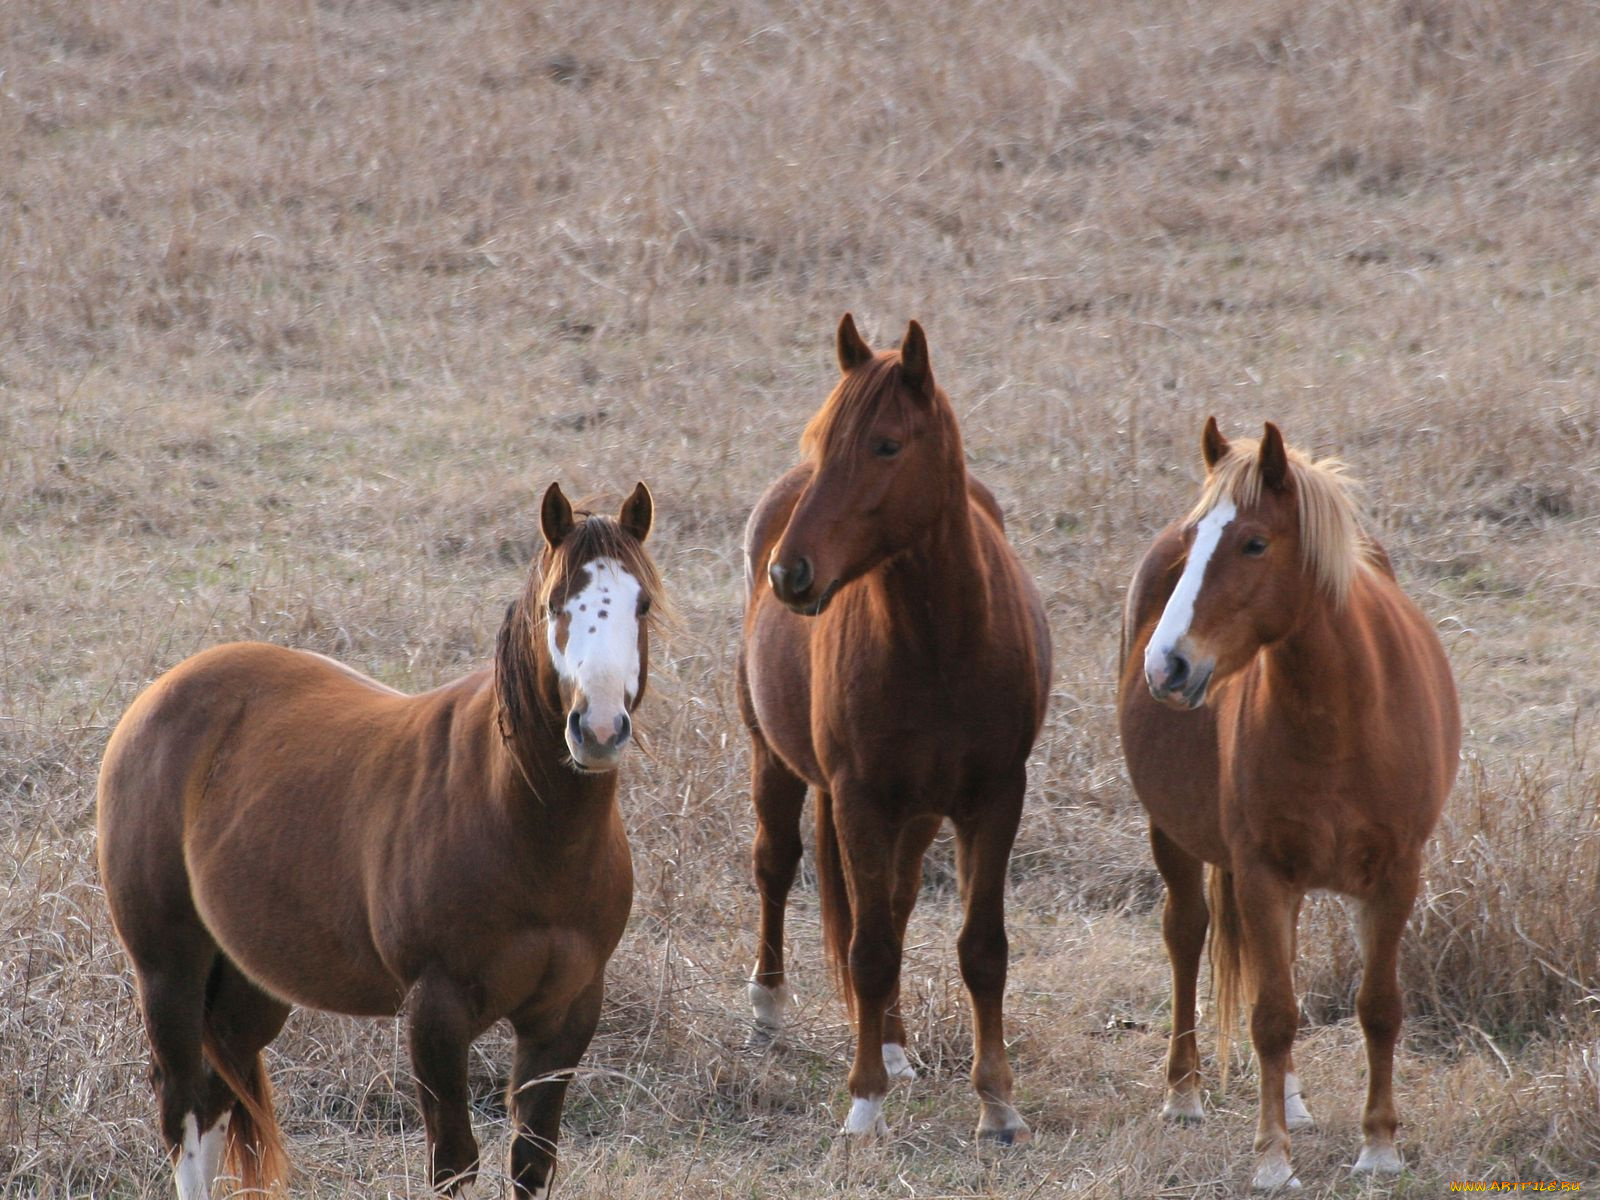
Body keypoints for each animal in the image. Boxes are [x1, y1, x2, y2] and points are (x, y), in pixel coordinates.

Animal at [95, 483, 662, 1200]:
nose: (599, 729)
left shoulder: (566, 1013)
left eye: (642, 604)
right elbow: (454, 1161)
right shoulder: (436, 1012)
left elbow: (532, 1162)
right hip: (168, 969)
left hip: (252, 980)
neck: (528, 833)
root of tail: (156, 697)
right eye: (554, 605)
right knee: (184, 1109)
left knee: (218, 1094)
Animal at [732, 312, 1049, 1145]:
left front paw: (997, 1105)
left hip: (921, 810)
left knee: (899, 903)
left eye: (886, 445)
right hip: (773, 760)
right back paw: (768, 1012)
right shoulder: (859, 798)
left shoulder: (994, 797)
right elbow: (868, 948)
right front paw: (864, 1104)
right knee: (776, 866)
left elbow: (980, 948)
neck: (941, 645)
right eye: (820, 440)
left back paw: (900, 1045)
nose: (790, 574)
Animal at [1120, 422, 1459, 1196]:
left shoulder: (1395, 874)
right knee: (1186, 936)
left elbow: (1378, 1007)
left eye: (1253, 543)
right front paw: (1271, 1159)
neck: (1342, 719)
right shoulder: (1261, 872)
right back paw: (1184, 1094)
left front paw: (1379, 1146)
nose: (1166, 666)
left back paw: (1298, 1103)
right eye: (1195, 538)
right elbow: (1272, 1014)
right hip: (1174, 837)